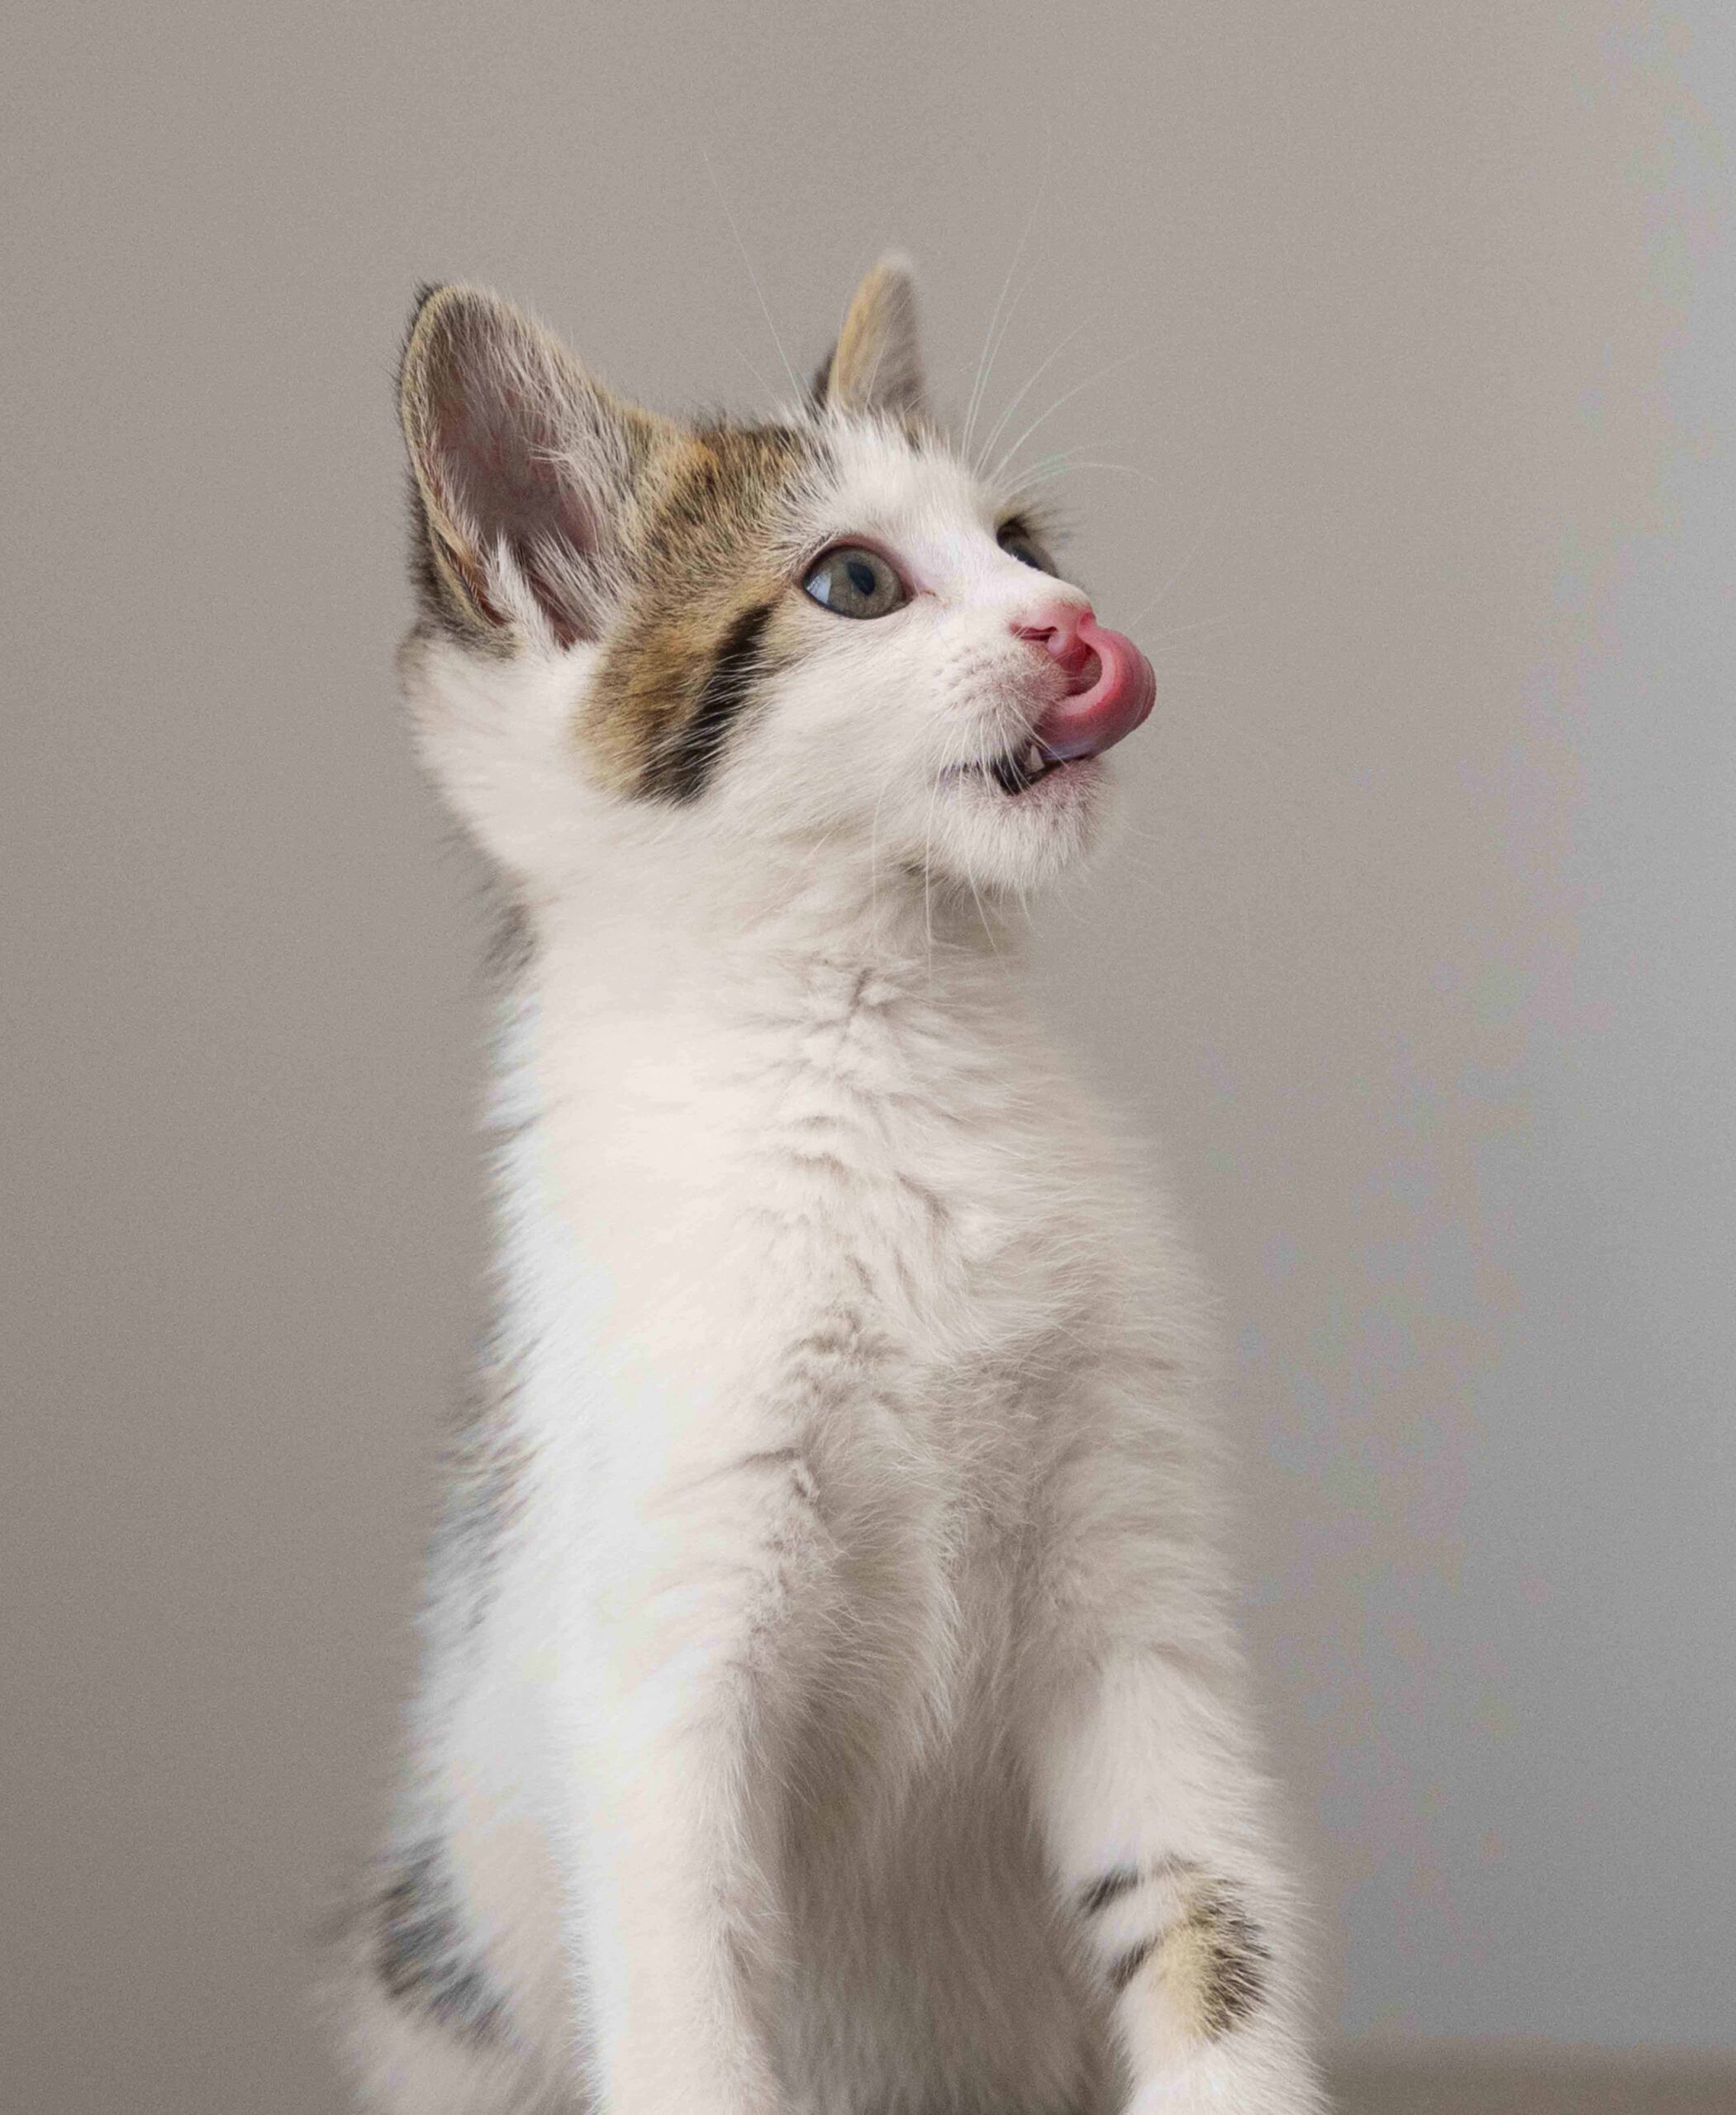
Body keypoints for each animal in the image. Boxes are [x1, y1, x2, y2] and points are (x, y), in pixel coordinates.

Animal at [331, 259, 1319, 2115]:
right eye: (853, 581)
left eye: (1022, 539)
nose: (1072, 623)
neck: (880, 1049)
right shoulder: (665, 1654)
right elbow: (689, 1992)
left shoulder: (1131, 1599)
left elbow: (1202, 1908)